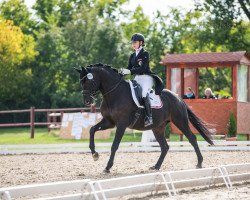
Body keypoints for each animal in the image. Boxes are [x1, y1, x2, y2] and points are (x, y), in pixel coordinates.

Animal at [74, 63, 213, 173]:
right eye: (81, 82)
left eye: (88, 81)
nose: (87, 101)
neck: (114, 94)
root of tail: (178, 98)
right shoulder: (109, 122)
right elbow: (92, 129)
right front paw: (94, 154)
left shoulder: (121, 124)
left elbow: (114, 145)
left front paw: (107, 167)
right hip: (158, 128)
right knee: (165, 147)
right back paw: (156, 166)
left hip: (180, 121)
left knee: (192, 138)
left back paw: (199, 163)